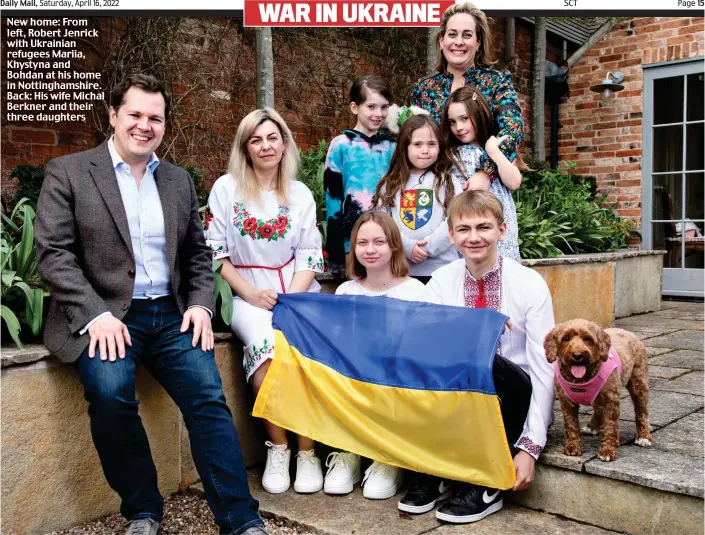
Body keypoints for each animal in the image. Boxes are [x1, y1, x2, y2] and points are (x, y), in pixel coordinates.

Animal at [544, 320, 648, 462]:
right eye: (566, 338)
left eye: (588, 339)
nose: (577, 355)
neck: (581, 379)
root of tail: (627, 332)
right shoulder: (566, 402)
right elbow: (570, 424)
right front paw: (572, 446)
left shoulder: (611, 400)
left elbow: (610, 426)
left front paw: (607, 450)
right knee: (598, 409)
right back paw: (592, 427)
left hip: (638, 383)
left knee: (642, 411)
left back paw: (643, 437)